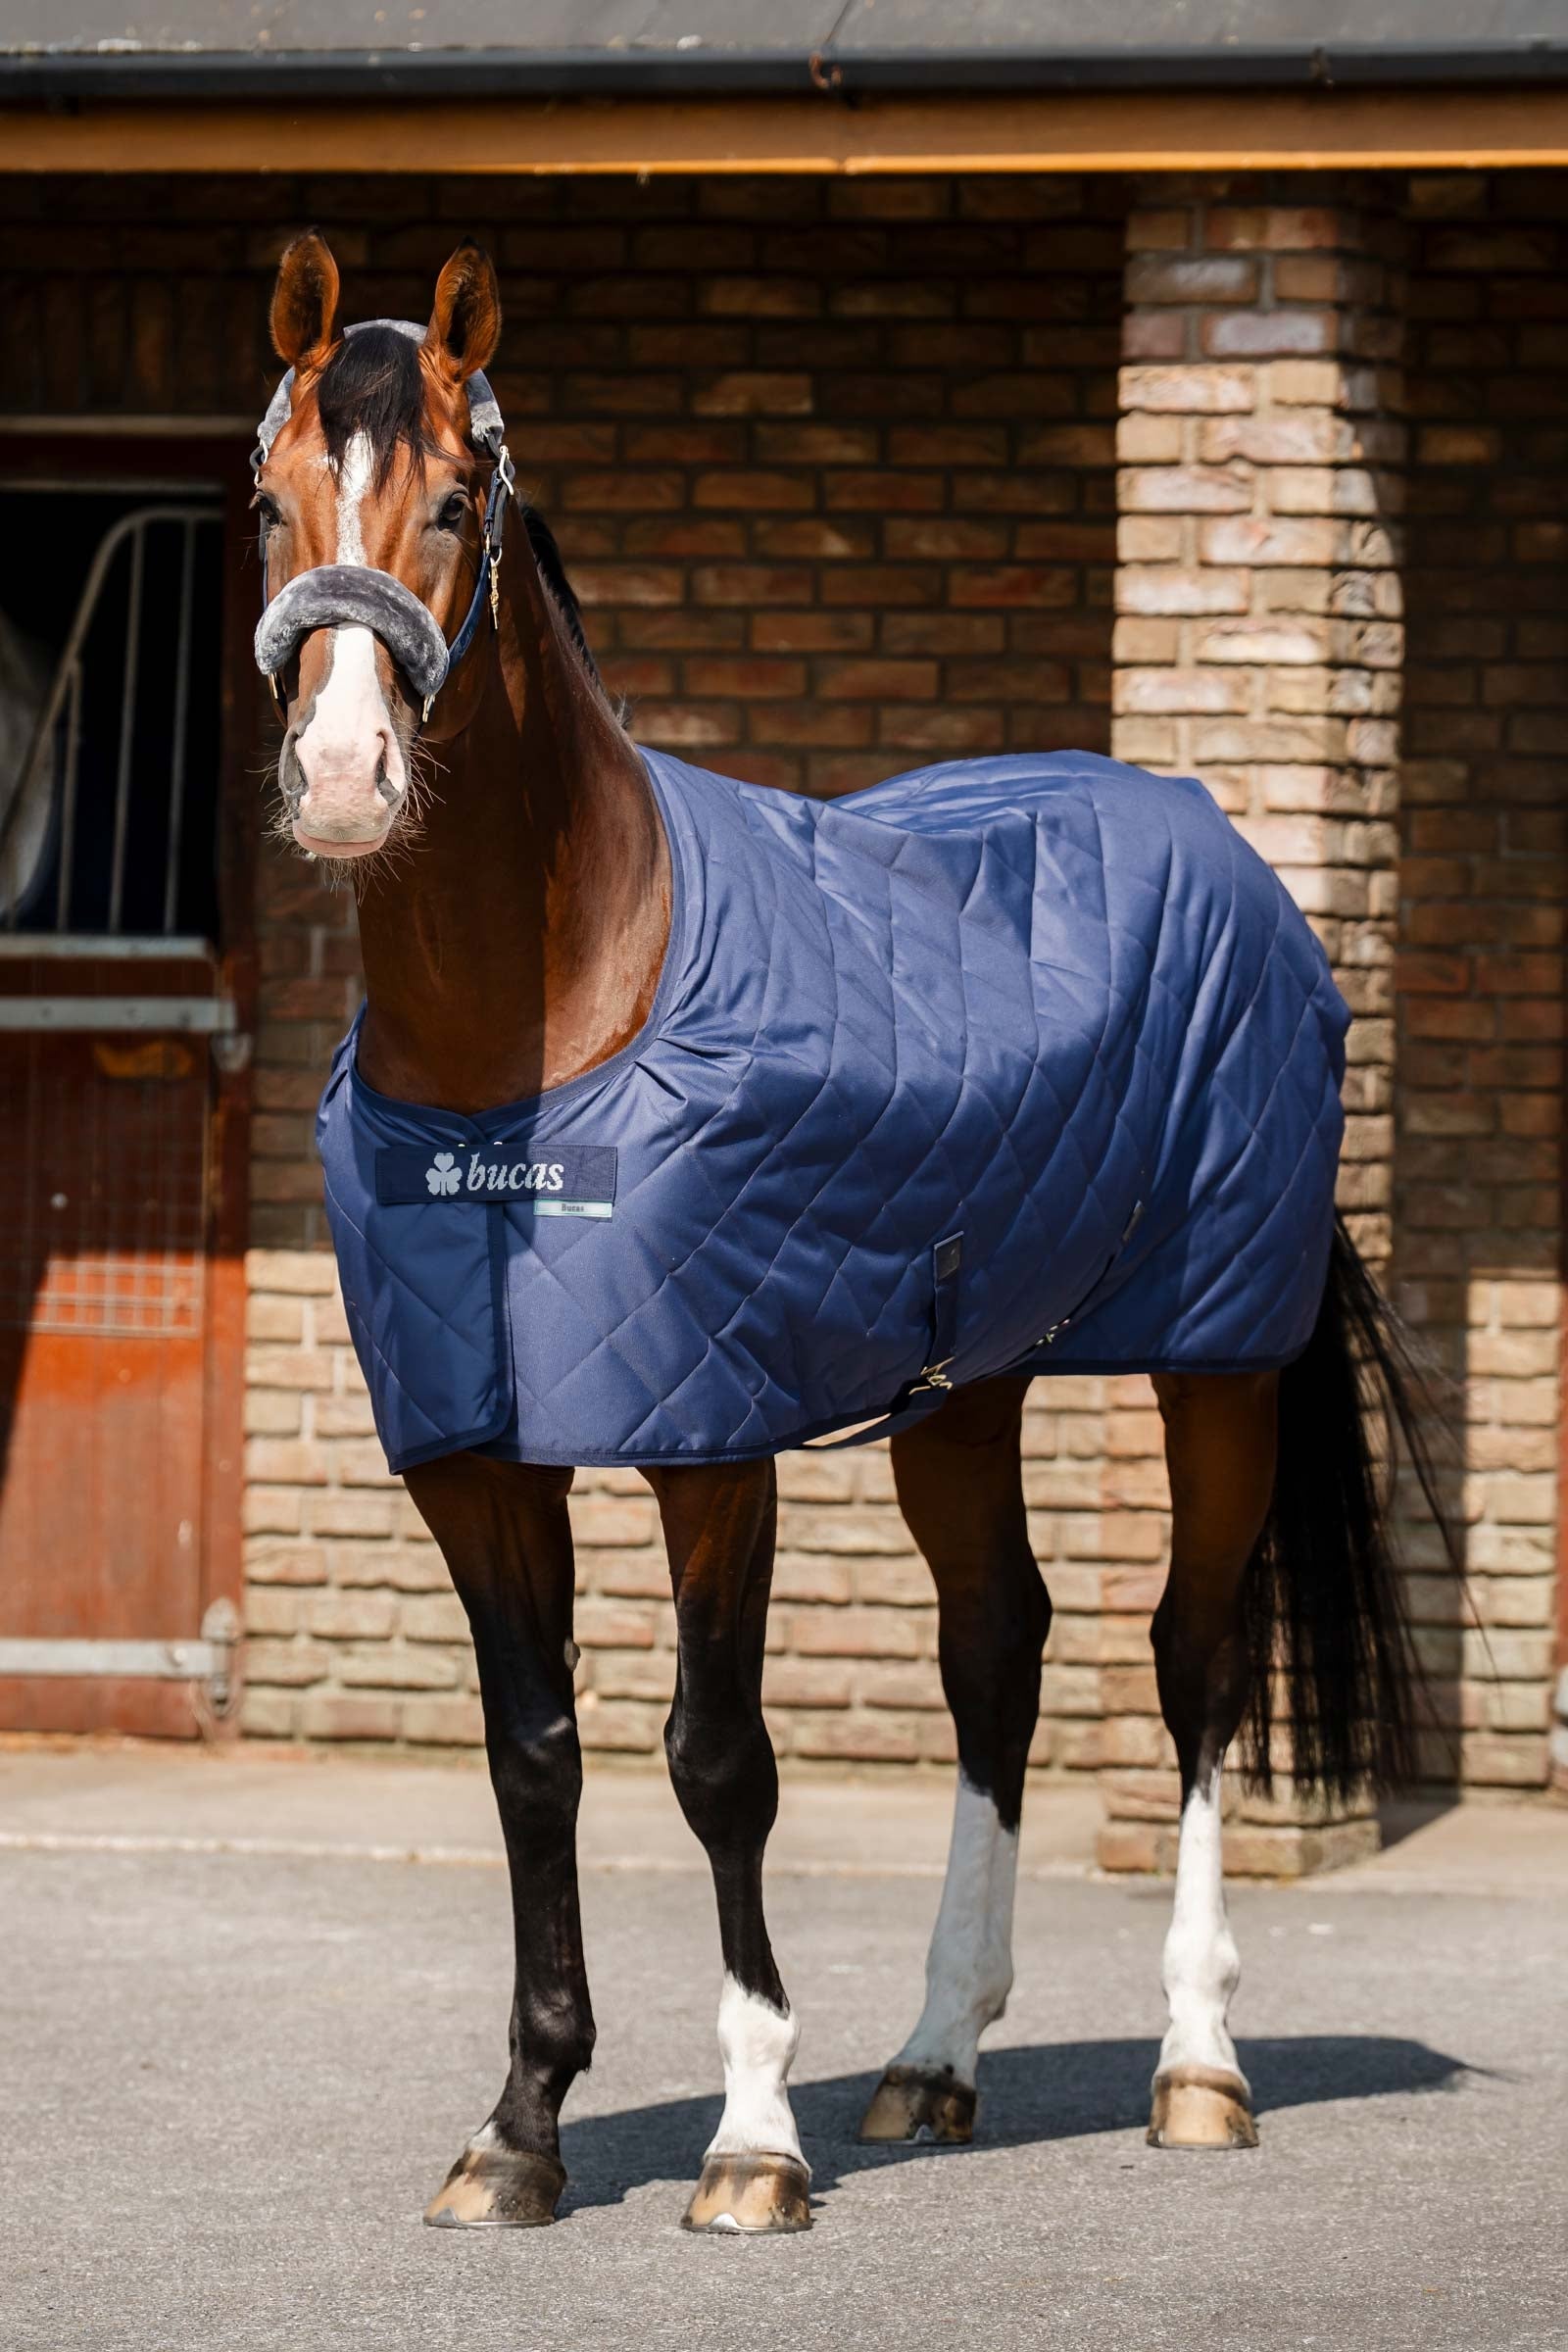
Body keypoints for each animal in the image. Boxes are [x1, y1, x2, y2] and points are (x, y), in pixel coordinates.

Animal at [250, 231, 1455, 2235]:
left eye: (463, 497)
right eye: (270, 498)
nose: (345, 774)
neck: (539, 1048)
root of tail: (1221, 846)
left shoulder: (710, 1439)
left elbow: (717, 1761)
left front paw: (750, 2139)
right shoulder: (476, 1455)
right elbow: (532, 1758)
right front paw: (521, 2129)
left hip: (1218, 1361)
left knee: (1191, 1659)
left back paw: (1197, 2068)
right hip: (968, 1388)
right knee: (999, 1649)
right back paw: (935, 2059)